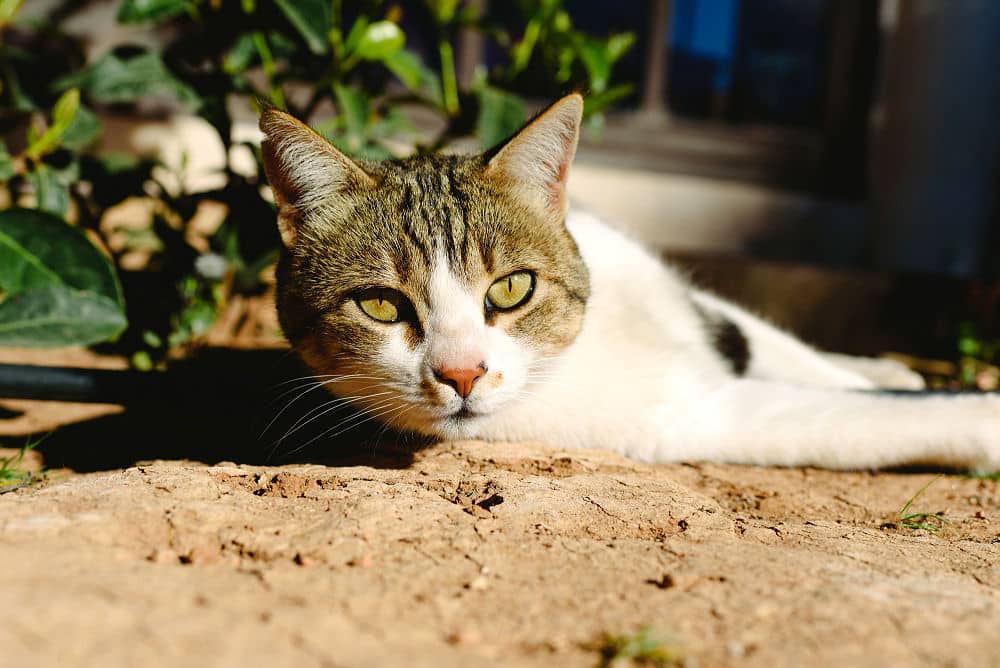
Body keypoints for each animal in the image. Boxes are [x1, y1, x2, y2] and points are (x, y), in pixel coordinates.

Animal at [260, 94, 1000, 472]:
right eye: (381, 305)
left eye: (511, 290)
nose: (463, 373)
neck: (590, 336)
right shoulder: (695, 414)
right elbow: (863, 418)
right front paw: (971, 413)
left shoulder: (694, 305)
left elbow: (785, 351)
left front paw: (873, 371)